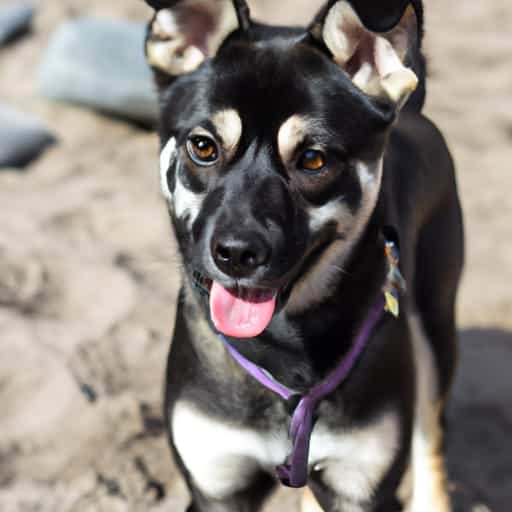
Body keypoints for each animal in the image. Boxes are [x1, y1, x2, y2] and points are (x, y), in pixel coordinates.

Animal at [140, 2, 464, 510]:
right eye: (203, 146)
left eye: (313, 159)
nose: (236, 253)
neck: (283, 348)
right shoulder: (216, 482)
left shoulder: (361, 484)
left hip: (435, 324)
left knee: (431, 436)